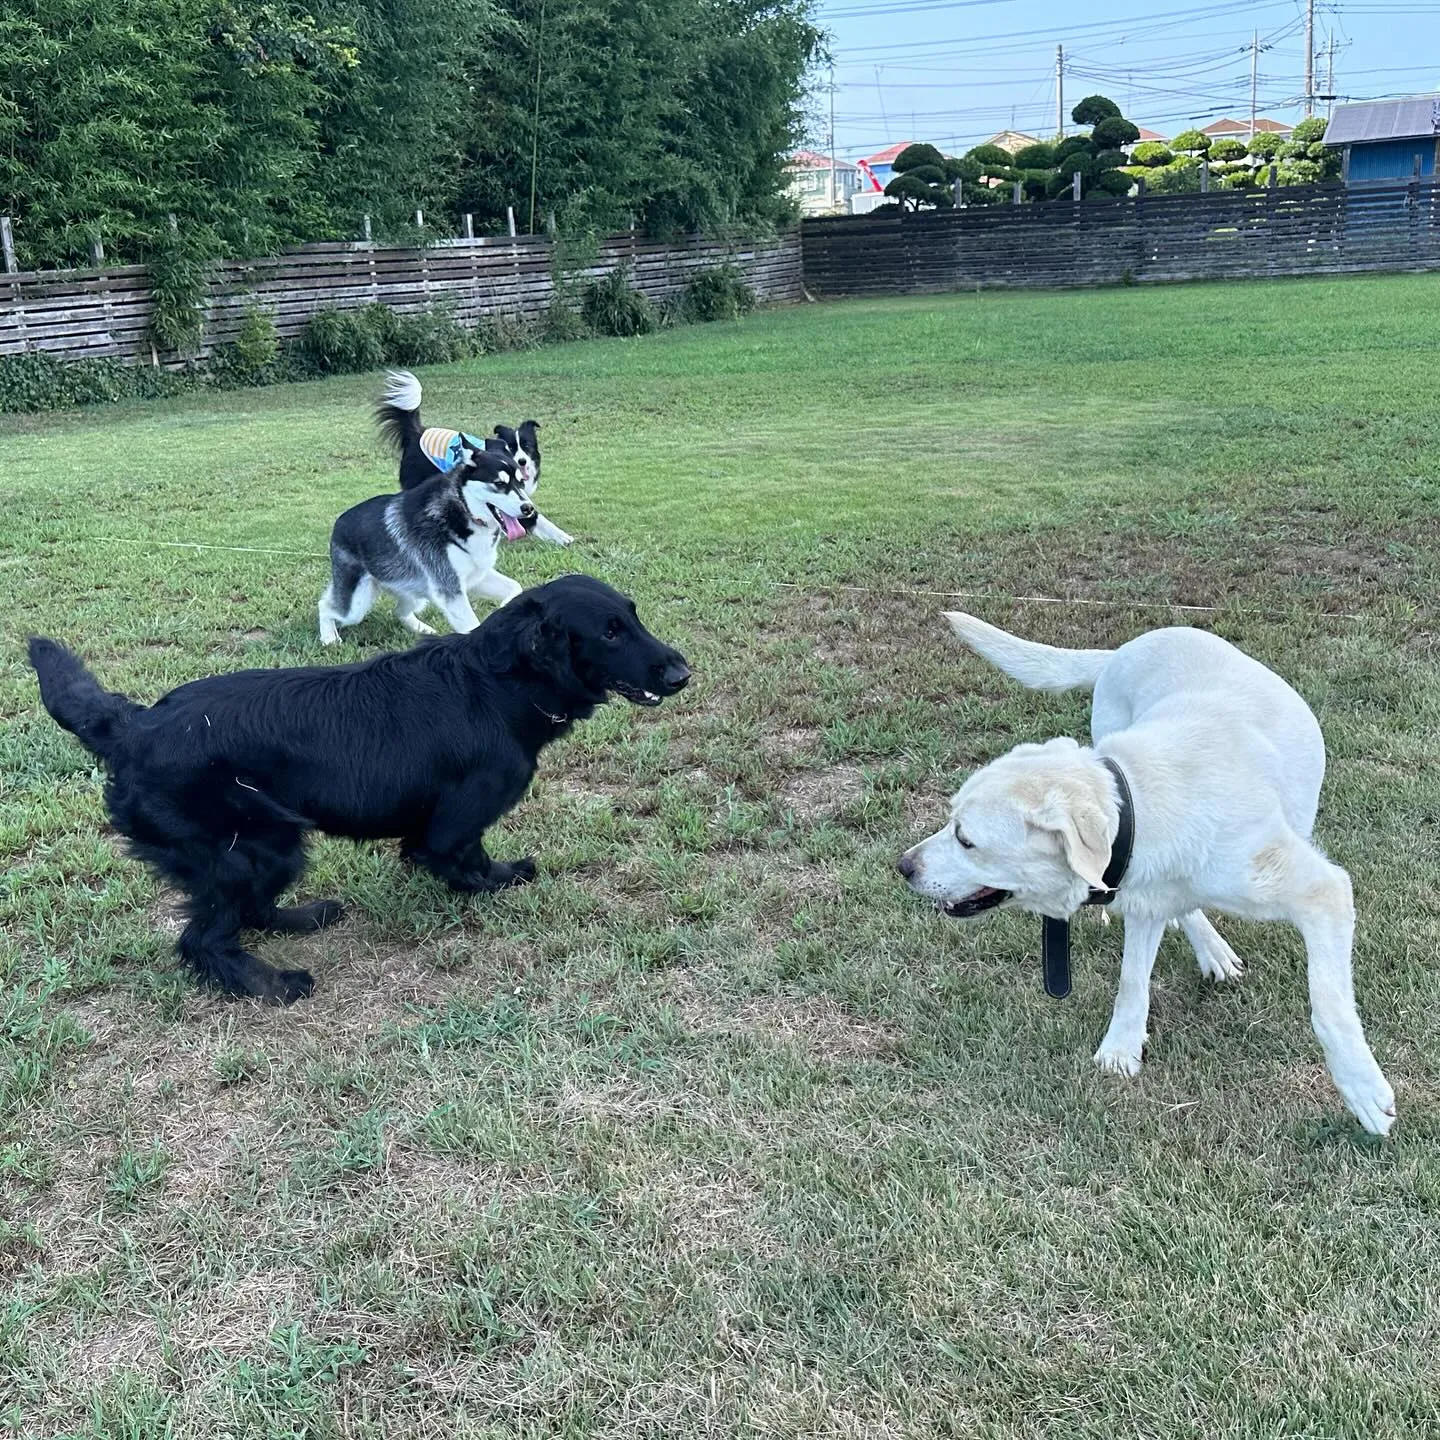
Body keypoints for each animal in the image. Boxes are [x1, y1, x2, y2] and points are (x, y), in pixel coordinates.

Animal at [26, 573, 691, 1002]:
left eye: (632, 616)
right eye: (609, 633)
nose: (682, 672)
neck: (501, 684)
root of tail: (133, 727)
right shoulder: (450, 825)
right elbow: (462, 859)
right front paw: (498, 881)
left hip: (266, 849)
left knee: (251, 912)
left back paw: (304, 918)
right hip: (255, 846)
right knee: (203, 939)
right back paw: (270, 985)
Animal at [321, 437, 541, 642]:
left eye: (521, 482)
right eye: (499, 484)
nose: (528, 509)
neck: (462, 508)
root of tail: (338, 522)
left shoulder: (476, 577)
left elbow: (515, 587)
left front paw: (506, 608)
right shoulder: (450, 590)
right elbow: (471, 627)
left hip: (415, 592)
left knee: (399, 610)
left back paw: (421, 628)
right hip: (357, 605)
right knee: (325, 605)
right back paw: (329, 638)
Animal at [374, 368, 570, 547]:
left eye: (527, 446)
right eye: (511, 447)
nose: (522, 461)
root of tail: (417, 433)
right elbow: (534, 517)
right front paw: (562, 537)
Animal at [898, 607, 1393, 1134]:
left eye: (965, 839)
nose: (902, 866)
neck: (1137, 804)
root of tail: (1127, 647)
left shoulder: (1323, 892)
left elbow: (1328, 1004)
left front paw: (1362, 1089)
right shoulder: (1142, 903)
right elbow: (1132, 981)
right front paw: (1122, 1048)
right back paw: (1211, 948)